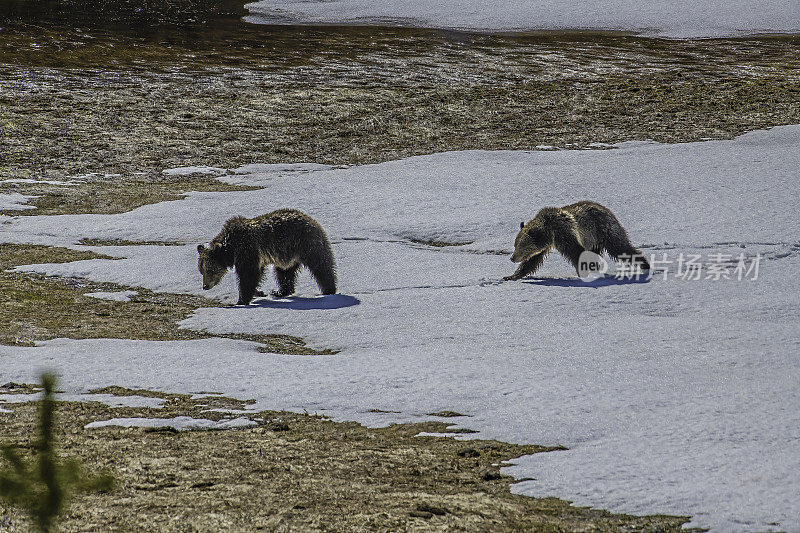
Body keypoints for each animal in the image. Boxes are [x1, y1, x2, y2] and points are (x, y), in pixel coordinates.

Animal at [202, 210, 340, 306]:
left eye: (209, 270)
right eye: (201, 271)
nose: (205, 286)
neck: (231, 248)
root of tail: (313, 222)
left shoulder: (247, 249)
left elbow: (248, 275)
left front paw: (241, 300)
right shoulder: (255, 256)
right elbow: (257, 274)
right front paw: (258, 292)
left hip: (306, 244)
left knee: (321, 267)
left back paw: (328, 289)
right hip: (288, 256)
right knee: (284, 273)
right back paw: (280, 292)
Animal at [506, 201, 648, 282]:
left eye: (520, 246)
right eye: (515, 244)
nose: (512, 258)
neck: (550, 232)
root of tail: (607, 210)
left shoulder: (565, 234)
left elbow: (576, 253)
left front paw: (582, 274)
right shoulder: (545, 246)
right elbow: (532, 261)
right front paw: (511, 276)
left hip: (604, 230)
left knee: (620, 247)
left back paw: (645, 265)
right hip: (593, 240)